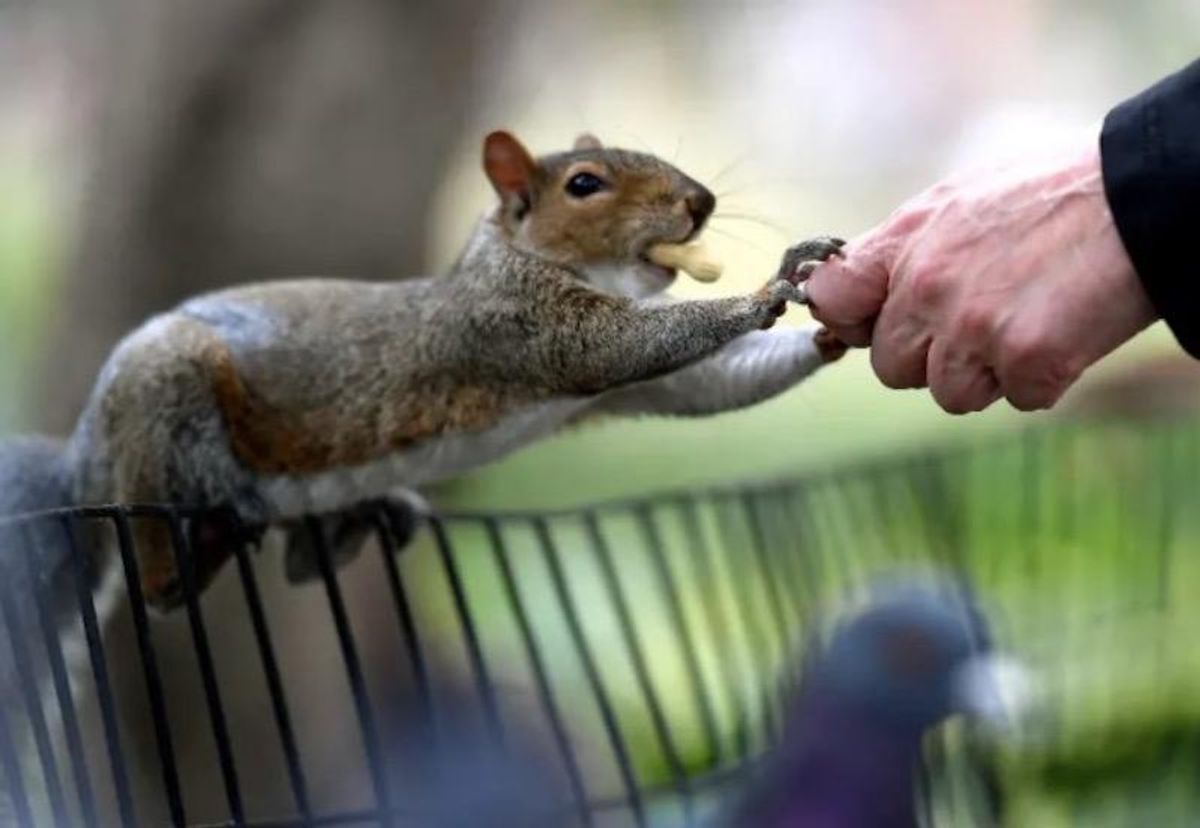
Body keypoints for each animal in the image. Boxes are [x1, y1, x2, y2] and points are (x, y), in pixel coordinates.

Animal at [2, 130, 845, 613]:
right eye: (584, 185)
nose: (701, 202)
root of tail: (85, 454)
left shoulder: (642, 381)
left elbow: (709, 383)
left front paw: (824, 323)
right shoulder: (519, 327)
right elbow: (626, 344)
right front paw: (767, 292)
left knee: (303, 560)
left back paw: (364, 519)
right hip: (162, 404)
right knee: (156, 583)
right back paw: (191, 555)